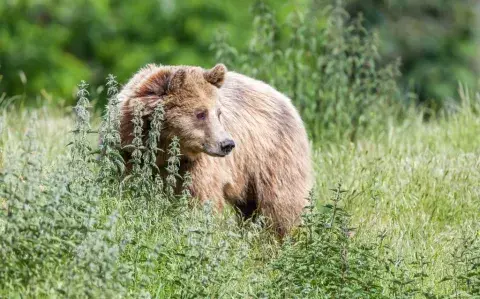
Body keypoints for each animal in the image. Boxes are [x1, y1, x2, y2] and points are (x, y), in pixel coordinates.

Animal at [118, 63, 314, 237]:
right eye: (200, 113)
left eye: (219, 113)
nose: (227, 144)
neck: (163, 151)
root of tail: (286, 99)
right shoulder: (128, 153)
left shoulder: (196, 166)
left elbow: (199, 199)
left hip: (273, 156)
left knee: (281, 204)